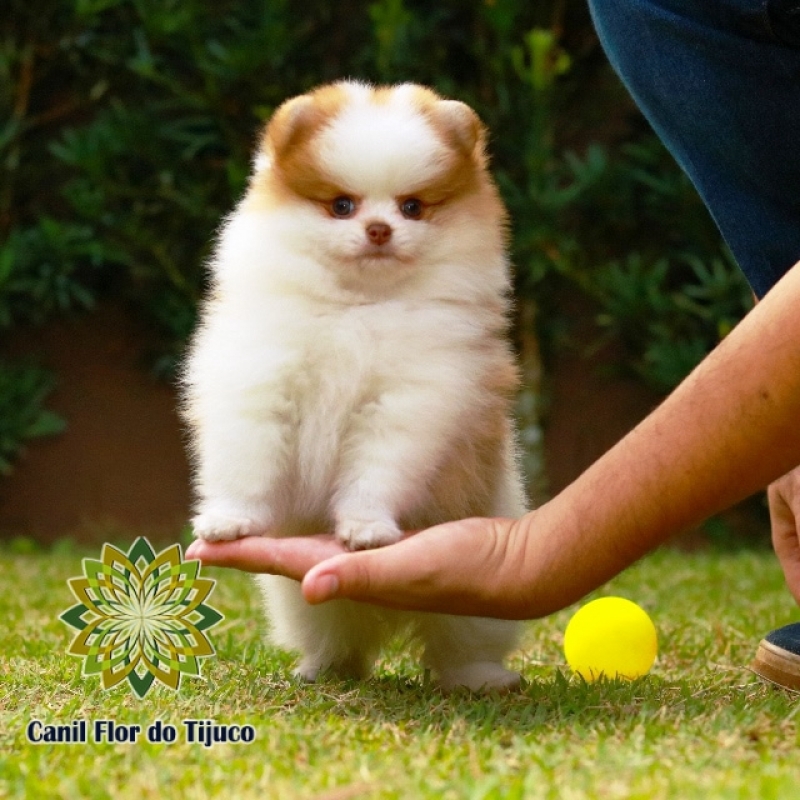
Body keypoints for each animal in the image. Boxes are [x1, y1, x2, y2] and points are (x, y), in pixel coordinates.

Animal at [180, 83, 524, 692]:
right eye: (342, 205)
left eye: (412, 206)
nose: (379, 229)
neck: (358, 307)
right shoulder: (259, 382)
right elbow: (247, 461)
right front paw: (231, 519)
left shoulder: (410, 403)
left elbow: (378, 469)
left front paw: (366, 526)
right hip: (304, 599)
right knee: (335, 631)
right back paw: (326, 668)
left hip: (479, 595)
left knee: (463, 642)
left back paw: (481, 678)